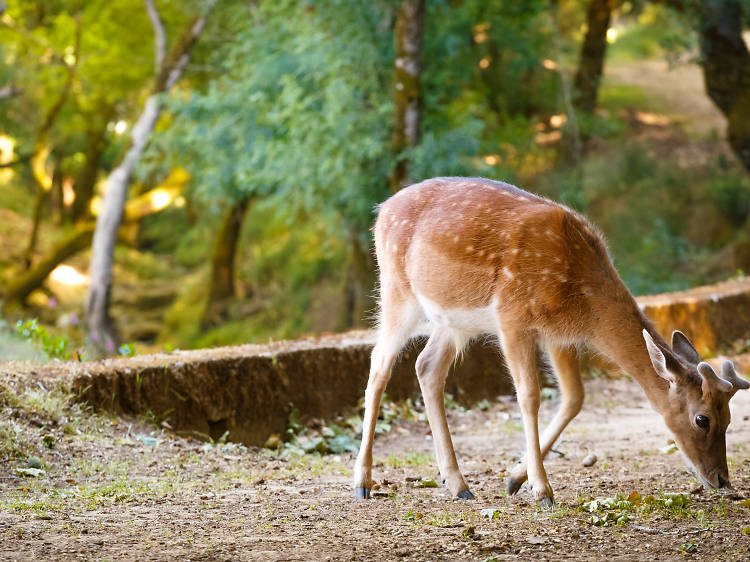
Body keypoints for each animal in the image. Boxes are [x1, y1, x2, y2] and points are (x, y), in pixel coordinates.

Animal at [354, 177, 750, 506]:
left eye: (730, 418)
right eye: (702, 419)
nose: (722, 480)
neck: (582, 300)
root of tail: (380, 211)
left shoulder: (560, 337)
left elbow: (574, 397)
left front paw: (516, 478)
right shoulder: (513, 317)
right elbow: (529, 396)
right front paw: (542, 490)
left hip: (453, 320)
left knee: (427, 367)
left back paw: (458, 484)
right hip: (397, 290)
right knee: (379, 366)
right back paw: (363, 482)